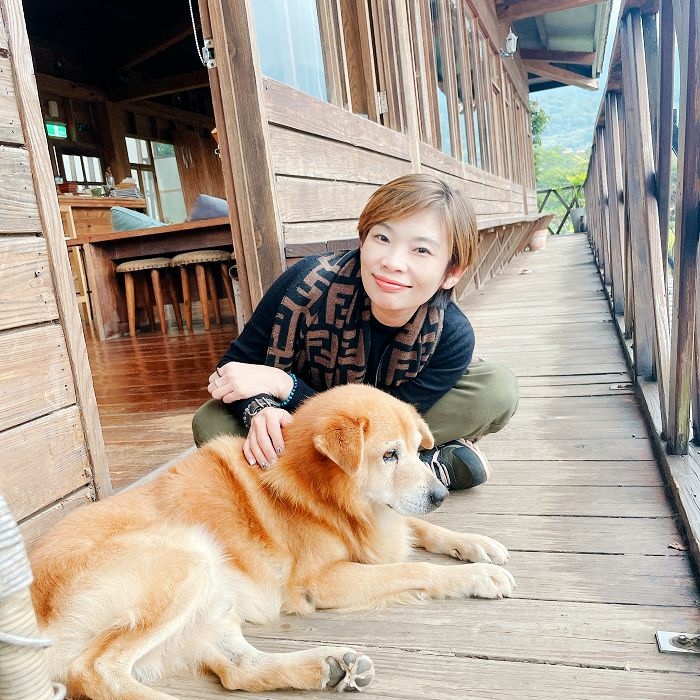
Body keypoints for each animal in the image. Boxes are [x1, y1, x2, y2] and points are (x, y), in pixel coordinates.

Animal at [30, 384, 514, 698]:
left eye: (417, 451)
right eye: (388, 455)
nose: (440, 495)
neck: (320, 490)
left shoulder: (386, 524)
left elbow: (422, 531)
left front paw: (477, 546)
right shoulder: (322, 581)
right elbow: (411, 567)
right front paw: (479, 575)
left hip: (213, 605)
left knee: (238, 671)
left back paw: (326, 667)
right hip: (189, 559)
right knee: (95, 671)